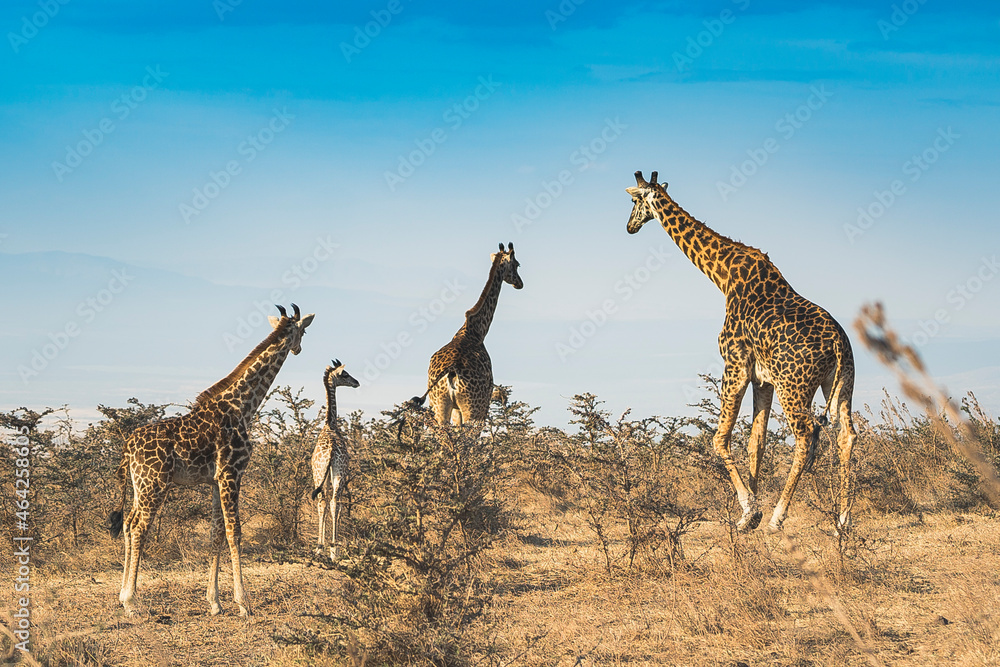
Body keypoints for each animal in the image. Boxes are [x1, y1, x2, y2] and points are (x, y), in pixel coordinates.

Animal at [108, 304, 315, 617]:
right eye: (302, 331)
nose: (299, 349)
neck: (242, 407)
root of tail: (128, 446)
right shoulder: (232, 473)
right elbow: (234, 532)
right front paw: (243, 603)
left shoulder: (216, 480)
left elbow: (216, 533)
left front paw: (215, 602)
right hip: (154, 484)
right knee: (138, 528)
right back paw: (131, 602)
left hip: (138, 485)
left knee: (129, 523)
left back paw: (124, 596)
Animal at [411, 242, 523, 426]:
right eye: (517, 264)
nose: (520, 283)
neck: (476, 331)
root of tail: (451, 371)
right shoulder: (483, 405)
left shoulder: (456, 409)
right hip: (474, 408)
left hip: (439, 406)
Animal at [624, 171, 857, 534]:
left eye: (634, 200)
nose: (629, 226)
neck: (723, 275)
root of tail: (837, 342)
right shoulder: (763, 379)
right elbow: (755, 443)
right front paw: (750, 515)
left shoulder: (734, 363)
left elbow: (720, 439)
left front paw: (751, 510)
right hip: (840, 381)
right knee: (847, 435)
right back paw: (842, 521)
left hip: (794, 387)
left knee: (806, 437)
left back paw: (778, 517)